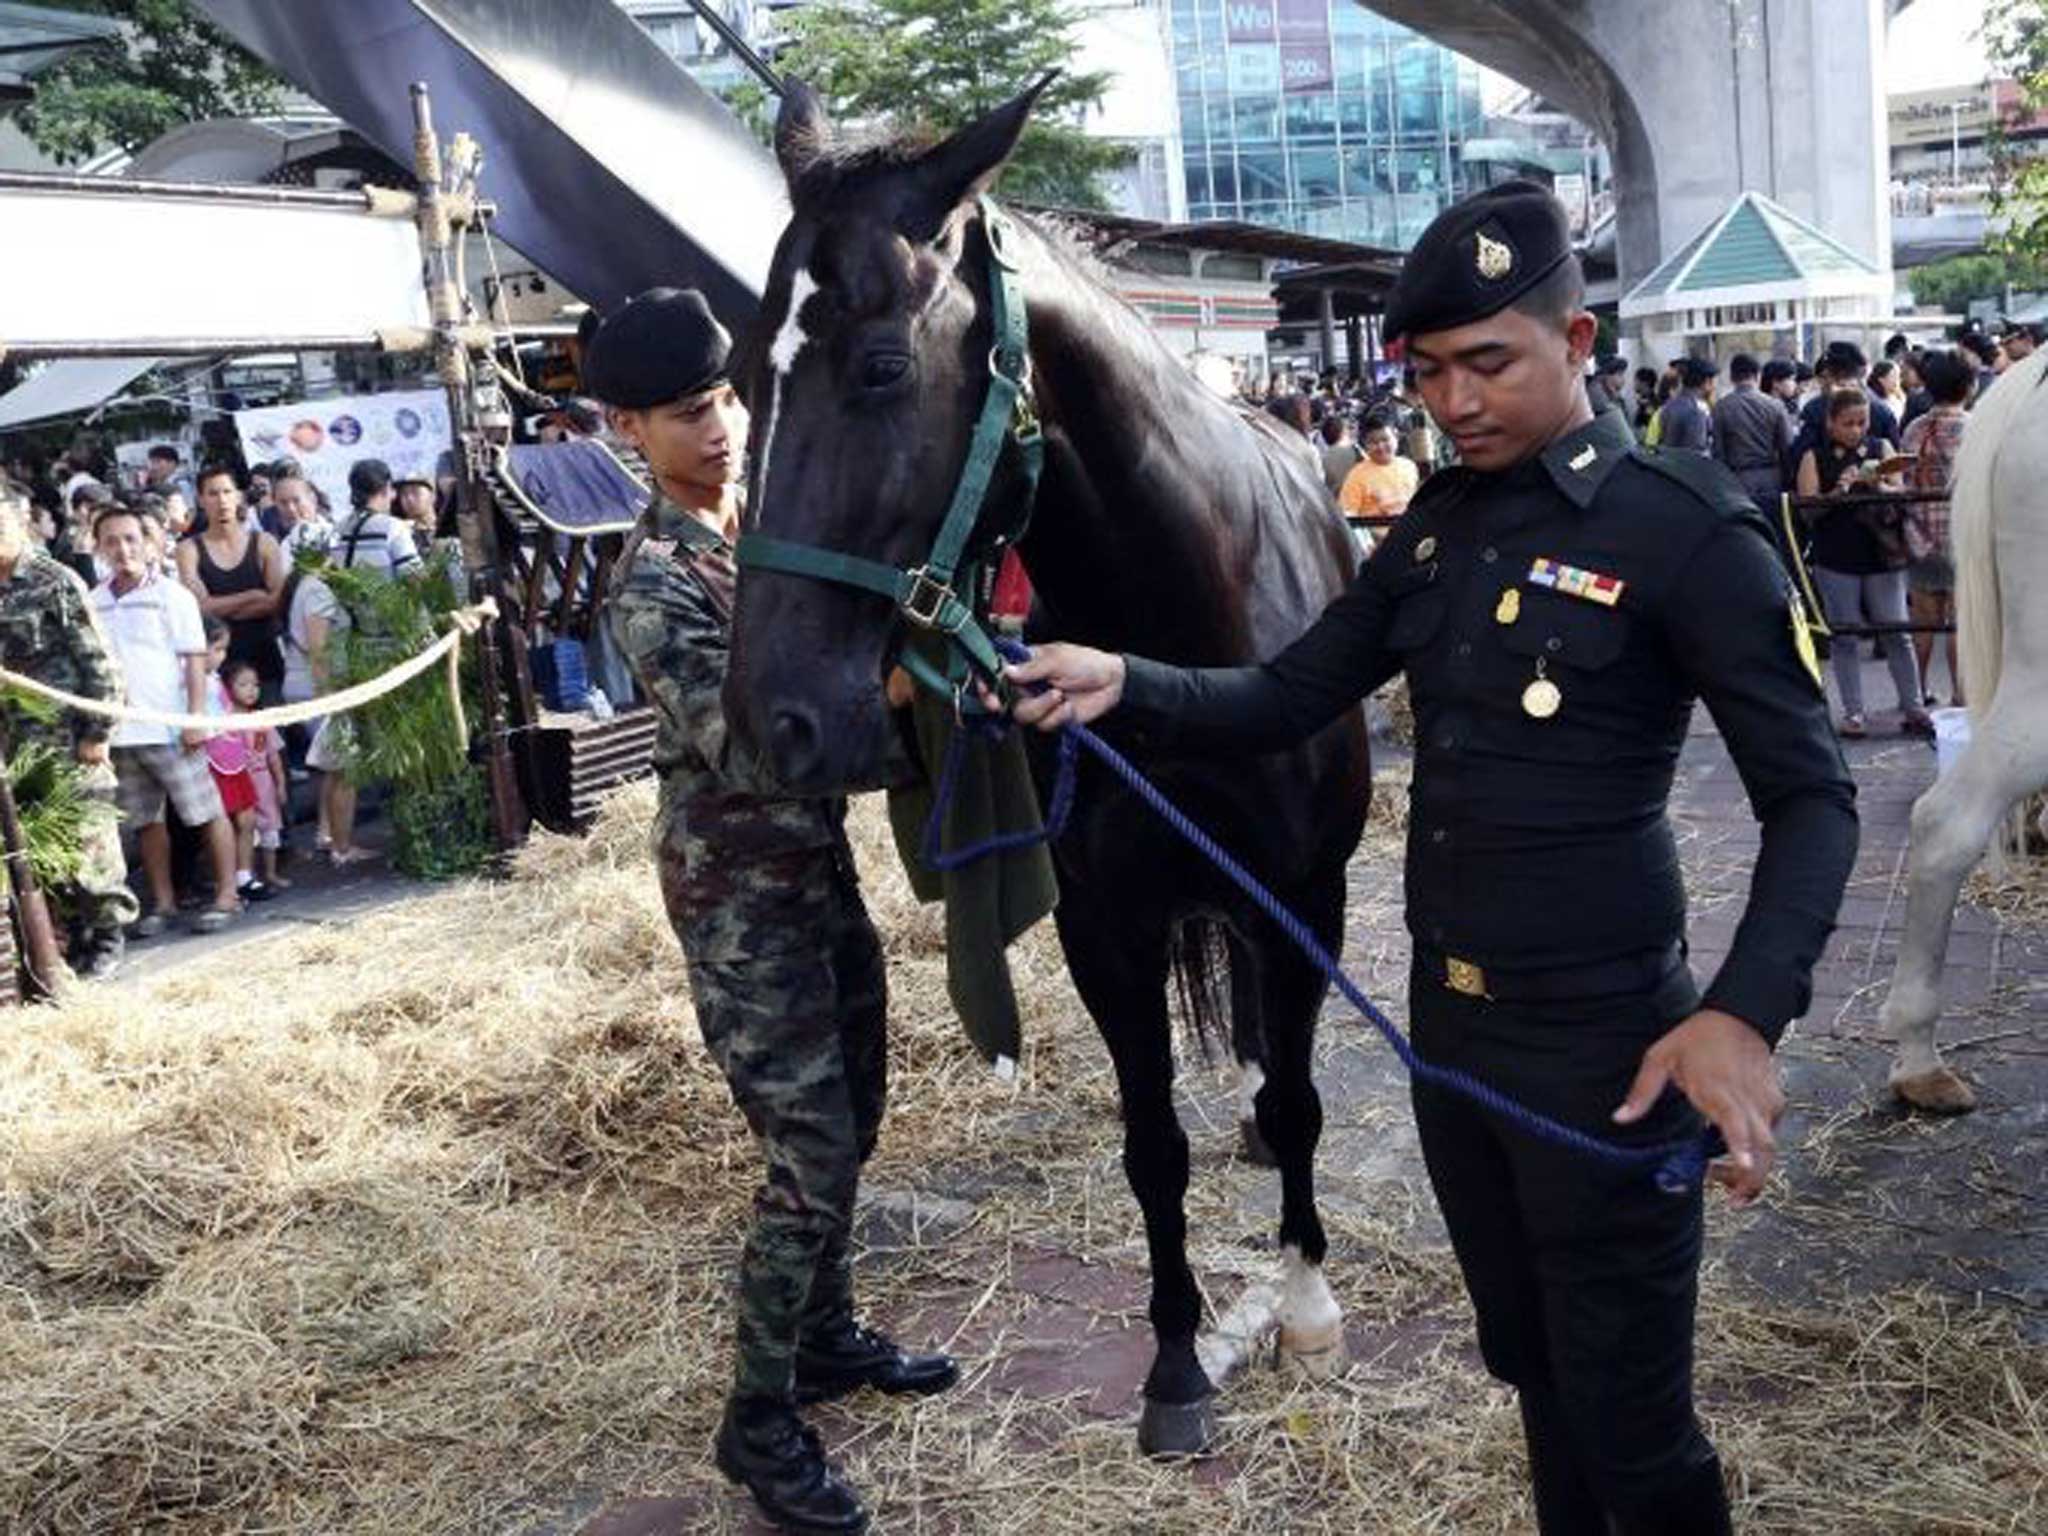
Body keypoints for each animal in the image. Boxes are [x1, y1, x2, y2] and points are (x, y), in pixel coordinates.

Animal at [729, 78, 1368, 1458]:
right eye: (747, 375)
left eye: (880, 367)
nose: (774, 720)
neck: (1188, 621)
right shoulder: (1104, 928)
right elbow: (1150, 1146)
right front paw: (1175, 1363)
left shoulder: (1300, 900)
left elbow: (1301, 1102)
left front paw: (1302, 1302)